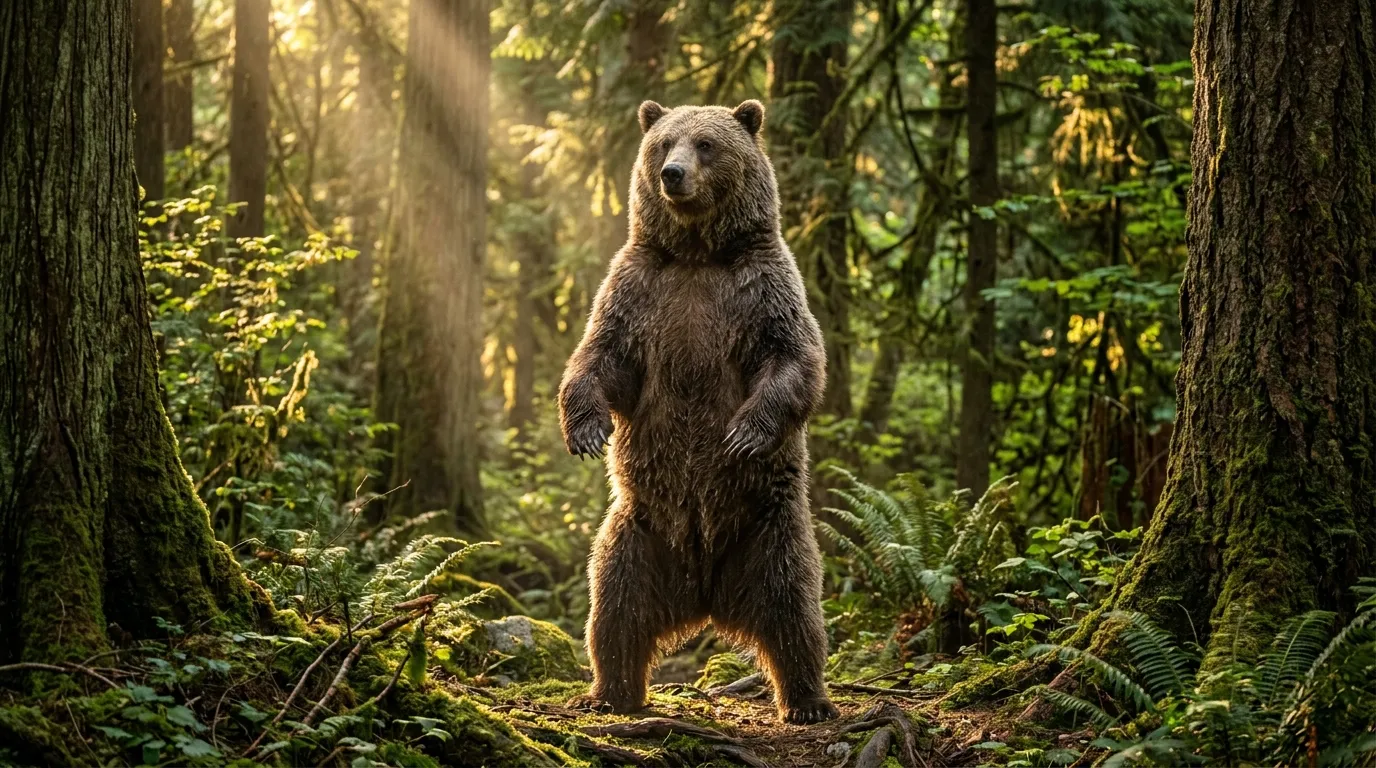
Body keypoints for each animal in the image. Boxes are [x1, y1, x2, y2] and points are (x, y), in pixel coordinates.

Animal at [557, 99, 838, 725]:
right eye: (665, 143)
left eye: (707, 144)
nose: (673, 175)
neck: (697, 254)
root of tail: (706, 593)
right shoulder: (640, 290)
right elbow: (600, 356)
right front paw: (586, 431)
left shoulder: (761, 288)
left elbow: (794, 358)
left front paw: (742, 433)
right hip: (638, 531)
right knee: (613, 606)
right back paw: (610, 691)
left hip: (768, 527)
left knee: (794, 610)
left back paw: (808, 701)